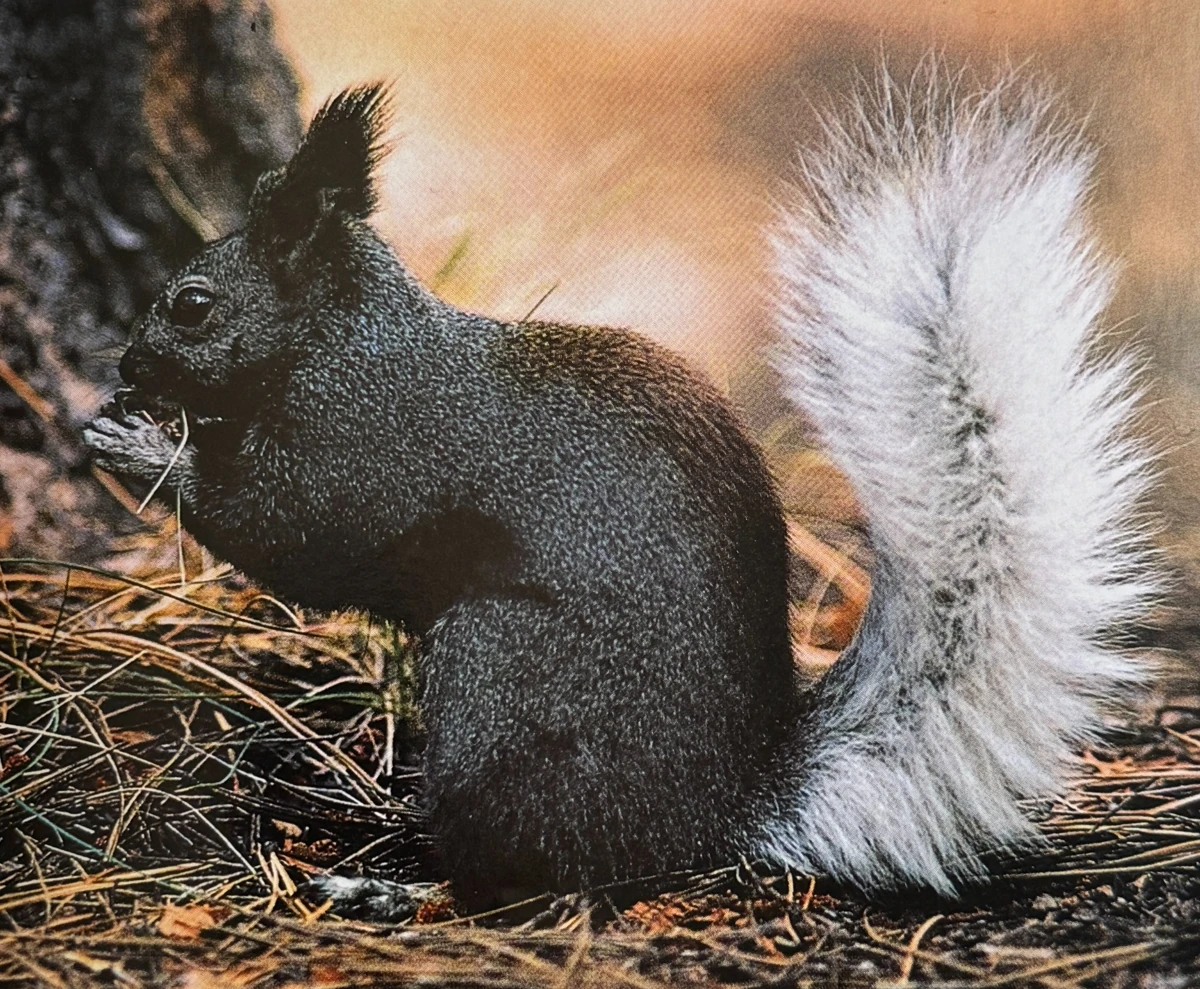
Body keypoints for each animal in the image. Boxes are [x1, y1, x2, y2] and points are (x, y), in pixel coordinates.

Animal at [84, 73, 1157, 911]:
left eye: (192, 304)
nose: (129, 367)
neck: (345, 343)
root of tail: (718, 807)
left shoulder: (363, 446)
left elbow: (292, 533)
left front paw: (139, 448)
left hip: (503, 679)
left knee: (529, 875)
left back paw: (390, 884)